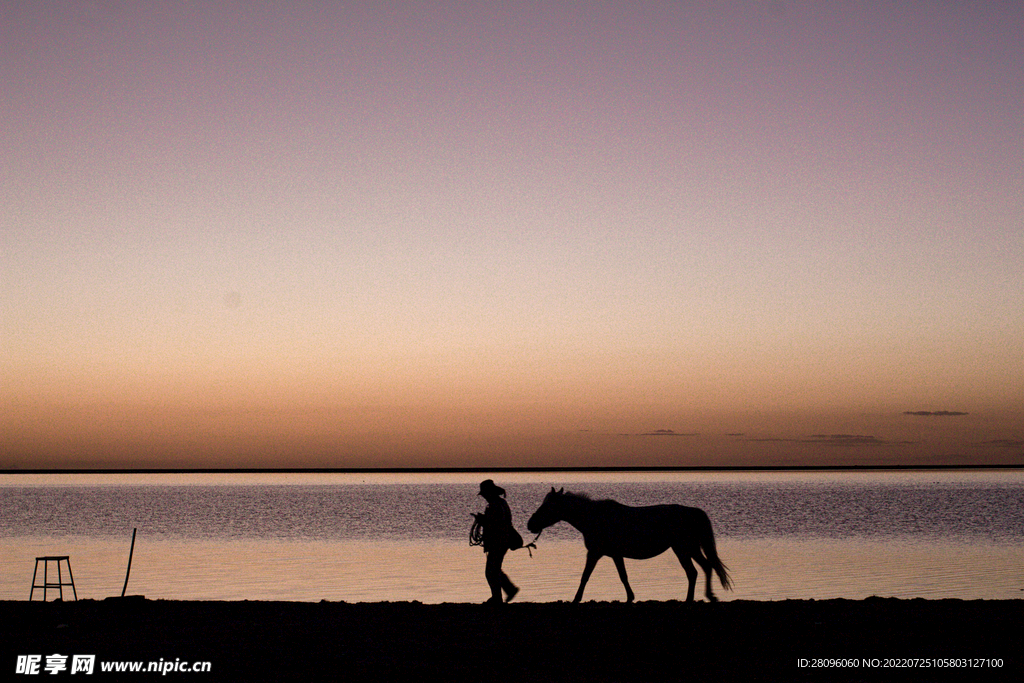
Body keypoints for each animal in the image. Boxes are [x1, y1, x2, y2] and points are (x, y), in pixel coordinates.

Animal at [528, 485, 729, 602]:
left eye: (548, 506)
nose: (531, 524)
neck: (594, 518)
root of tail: (692, 512)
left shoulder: (594, 553)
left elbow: (585, 576)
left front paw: (576, 599)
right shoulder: (615, 555)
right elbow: (623, 576)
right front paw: (630, 596)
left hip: (683, 549)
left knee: (693, 572)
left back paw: (690, 599)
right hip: (690, 548)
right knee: (705, 567)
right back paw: (709, 595)